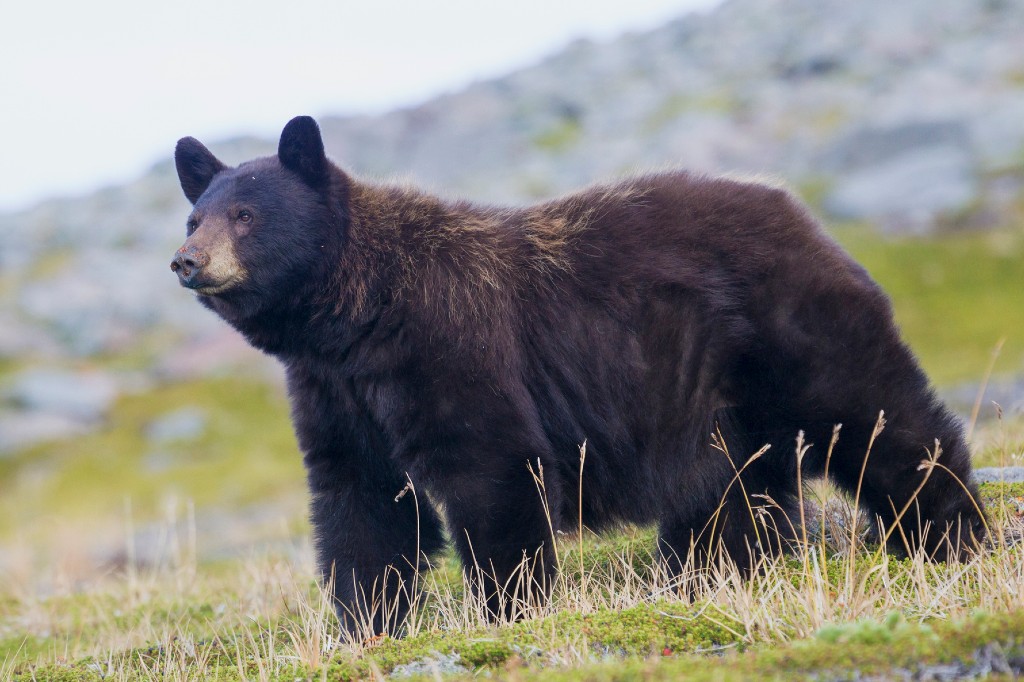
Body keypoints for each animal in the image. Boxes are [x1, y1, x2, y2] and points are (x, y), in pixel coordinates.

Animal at [172, 116, 985, 635]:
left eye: (245, 213)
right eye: (195, 216)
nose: (187, 261)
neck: (355, 318)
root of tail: (798, 209)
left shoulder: (448, 346)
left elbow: (491, 470)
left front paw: (509, 607)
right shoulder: (337, 394)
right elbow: (361, 503)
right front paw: (366, 622)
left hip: (790, 331)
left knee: (877, 418)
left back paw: (948, 532)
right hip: (709, 395)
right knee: (730, 491)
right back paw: (709, 573)